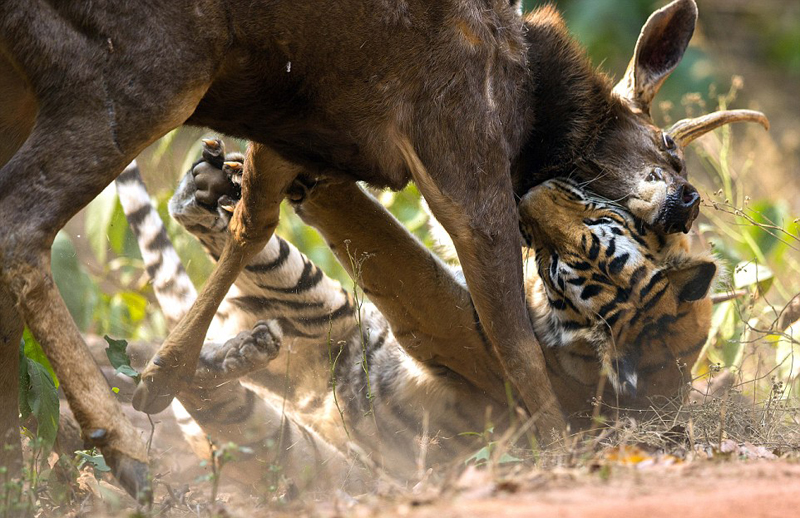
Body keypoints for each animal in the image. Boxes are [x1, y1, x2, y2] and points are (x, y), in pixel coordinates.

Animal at [114, 139, 717, 492]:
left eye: (555, 265)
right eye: (594, 219)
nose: (527, 196)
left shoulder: (448, 316)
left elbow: (399, 241)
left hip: (300, 370)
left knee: (207, 373)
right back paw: (208, 194)